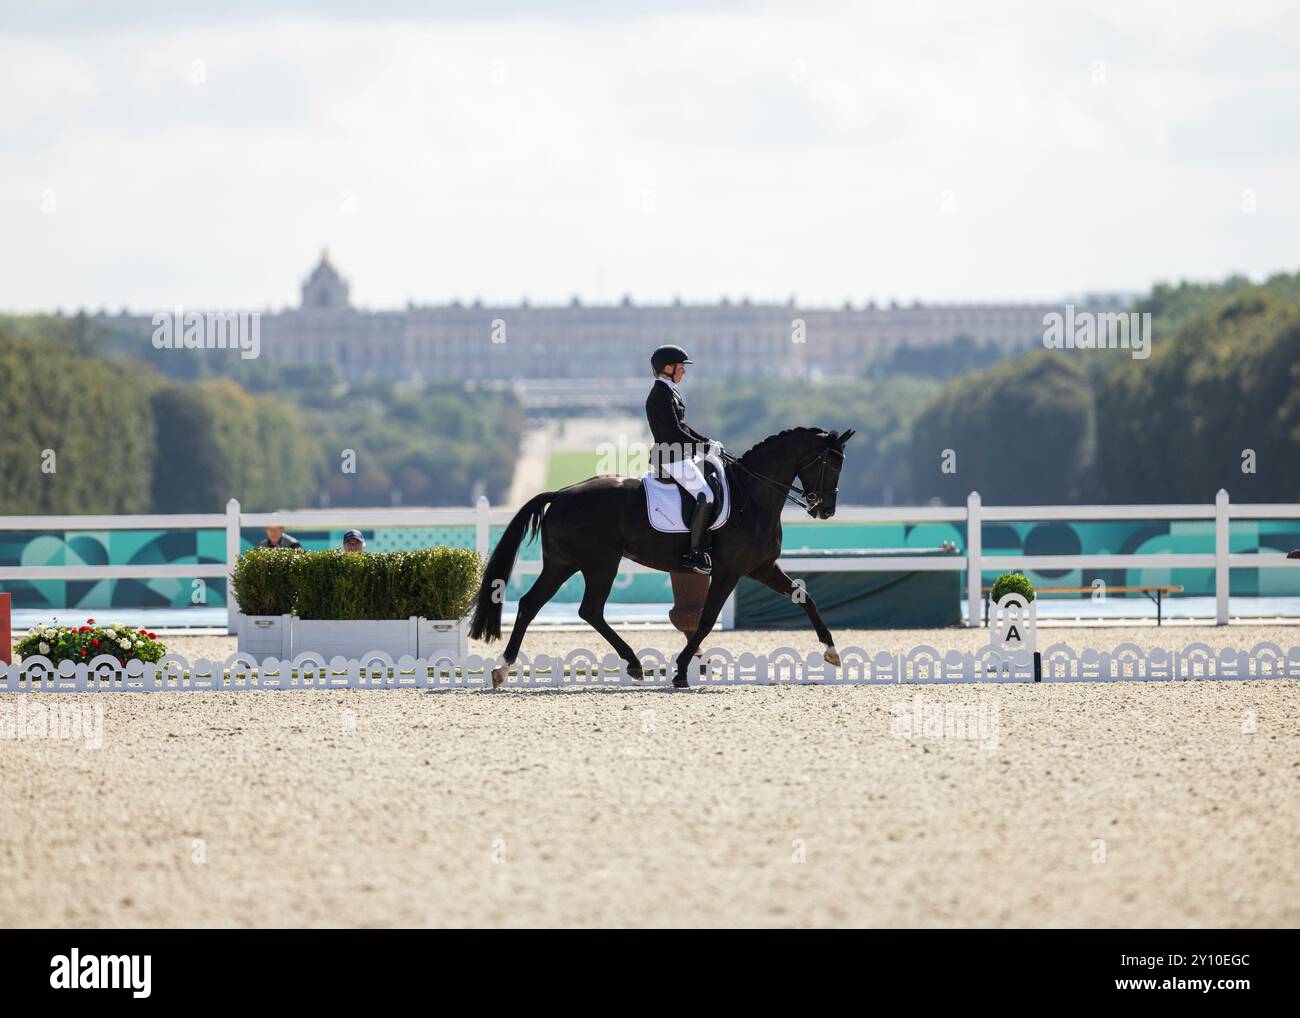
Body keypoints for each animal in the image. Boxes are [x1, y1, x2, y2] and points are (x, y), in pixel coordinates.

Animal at [467, 426, 852, 686]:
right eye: (832, 465)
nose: (826, 511)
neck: (753, 496)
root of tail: (560, 494)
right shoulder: (728, 572)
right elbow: (706, 619)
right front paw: (681, 671)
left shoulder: (761, 567)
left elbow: (804, 596)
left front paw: (832, 651)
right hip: (600, 564)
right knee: (588, 609)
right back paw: (633, 663)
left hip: (564, 563)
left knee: (533, 604)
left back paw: (503, 668)